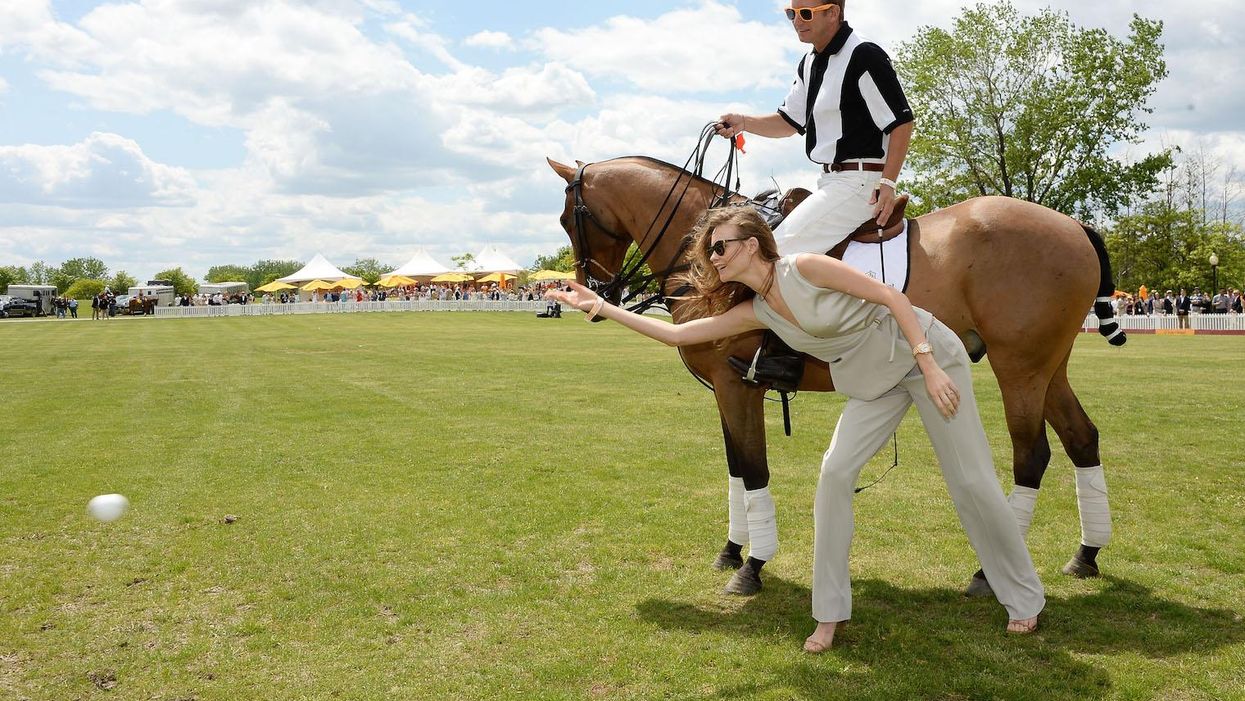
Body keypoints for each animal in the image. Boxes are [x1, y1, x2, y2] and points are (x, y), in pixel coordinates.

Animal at [550, 156, 1125, 595]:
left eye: (568, 219)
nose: (593, 292)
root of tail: (1075, 225)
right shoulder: (725, 390)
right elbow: (736, 467)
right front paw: (732, 549)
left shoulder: (738, 385)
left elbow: (753, 469)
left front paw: (753, 565)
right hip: (1049, 366)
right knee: (1082, 438)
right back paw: (1086, 554)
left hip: (1019, 365)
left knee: (1033, 454)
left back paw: (991, 573)